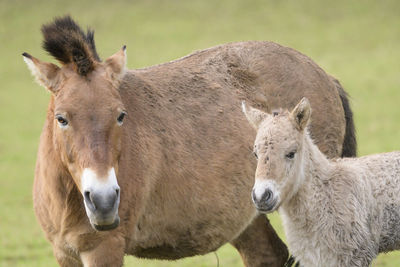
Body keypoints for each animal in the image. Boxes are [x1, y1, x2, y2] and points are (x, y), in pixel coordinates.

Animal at [23, 16, 354, 266]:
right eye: (62, 119)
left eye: (120, 115)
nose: (103, 201)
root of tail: (325, 76)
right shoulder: (65, 253)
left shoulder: (103, 249)